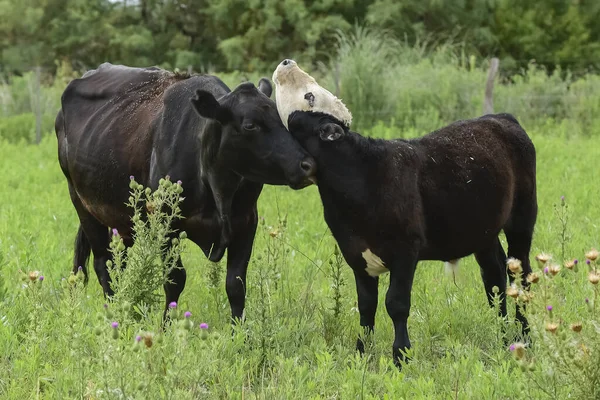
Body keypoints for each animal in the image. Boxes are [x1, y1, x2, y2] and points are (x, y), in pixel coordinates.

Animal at [56, 61, 318, 318]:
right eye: (250, 125)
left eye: (283, 119)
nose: (308, 165)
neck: (218, 188)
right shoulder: (164, 222)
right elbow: (174, 279)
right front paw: (166, 324)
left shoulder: (246, 220)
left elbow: (236, 283)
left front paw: (240, 328)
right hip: (82, 203)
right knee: (104, 264)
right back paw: (115, 313)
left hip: (120, 219)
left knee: (118, 263)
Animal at [272, 59, 536, 368]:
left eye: (310, 96)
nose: (287, 61)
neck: (360, 174)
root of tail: (500, 117)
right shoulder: (355, 253)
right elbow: (366, 306)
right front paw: (362, 354)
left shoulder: (405, 250)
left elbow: (396, 303)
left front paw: (401, 355)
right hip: (482, 229)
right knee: (494, 277)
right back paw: (504, 335)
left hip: (522, 218)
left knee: (520, 275)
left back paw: (524, 336)